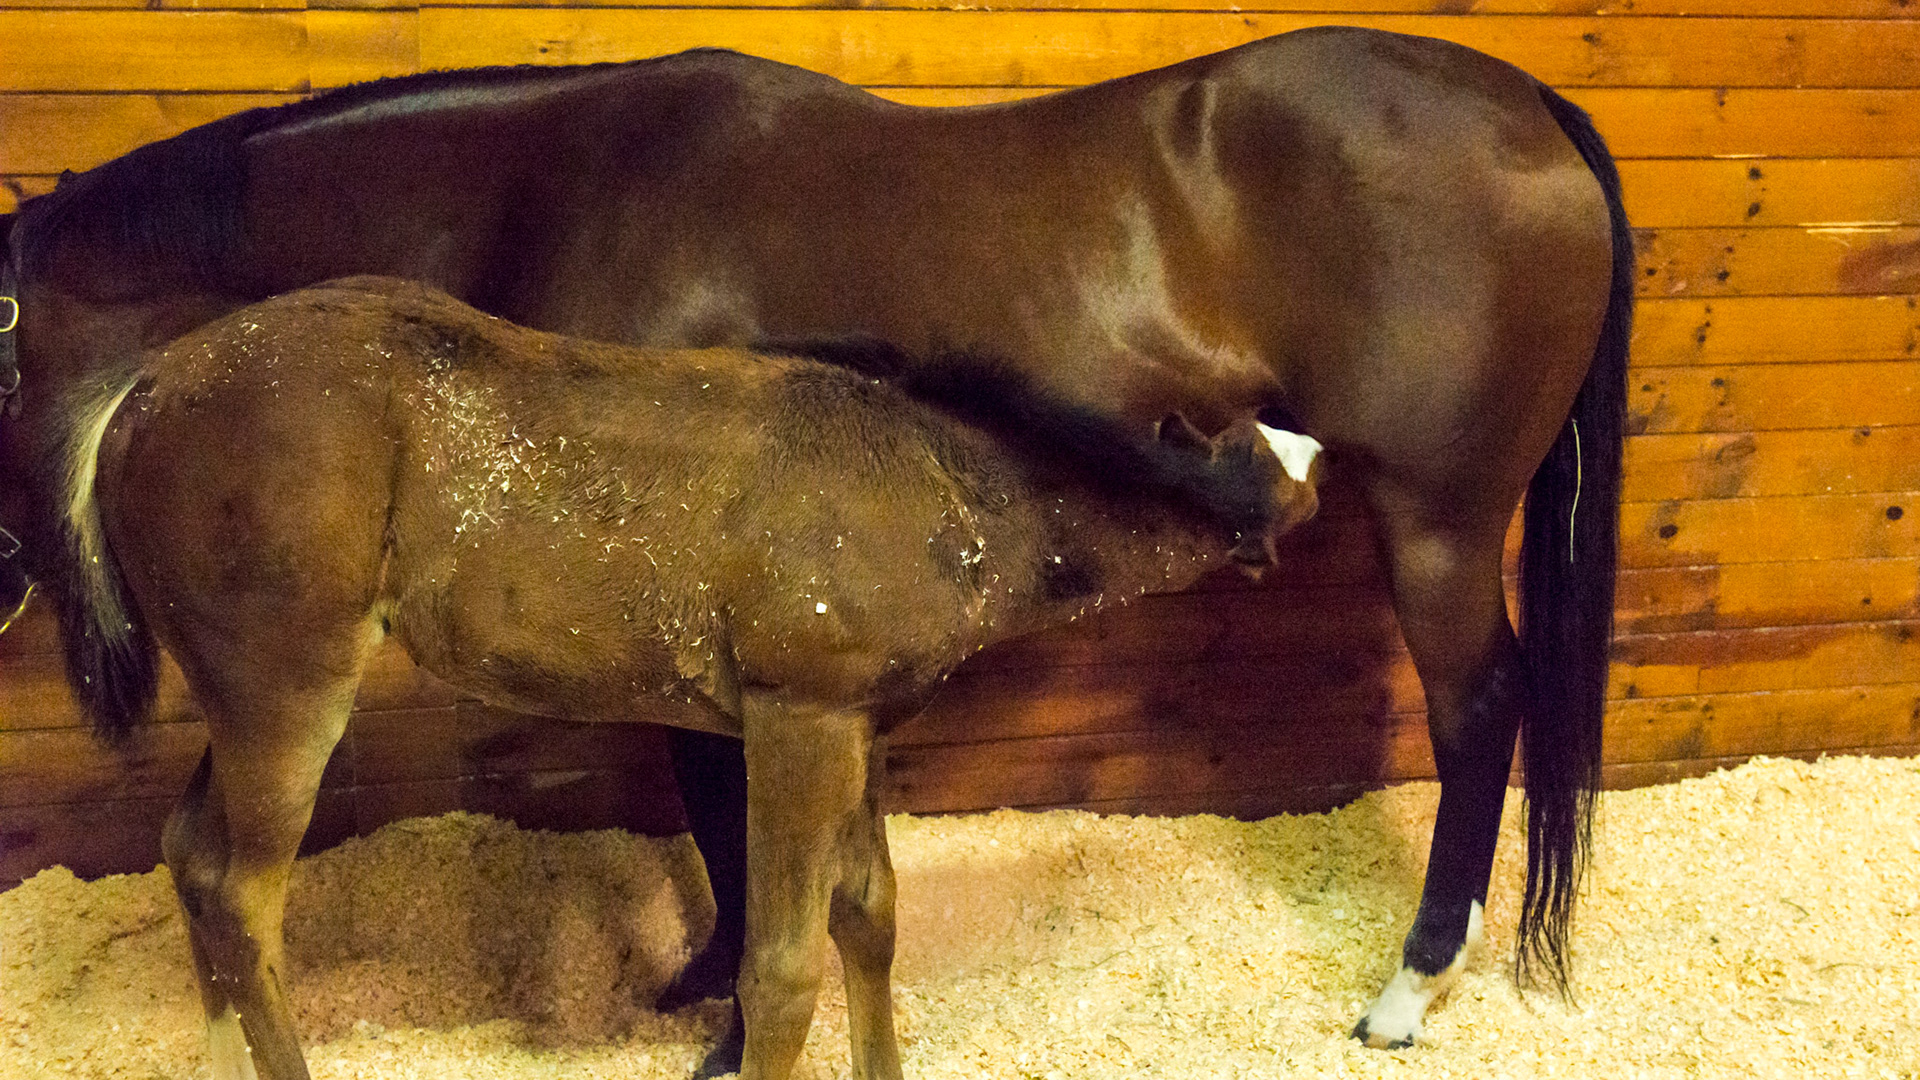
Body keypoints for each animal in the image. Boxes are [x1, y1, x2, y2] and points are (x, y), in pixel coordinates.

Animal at [54, 274, 1321, 1080]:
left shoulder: (857, 729)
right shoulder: (798, 719)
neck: (936, 482)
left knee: (188, 855)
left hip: (240, 701)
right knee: (239, 898)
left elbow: (871, 919)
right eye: (1257, 464)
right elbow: (780, 972)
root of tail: (144, 390)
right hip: (288, 697)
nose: (1319, 470)